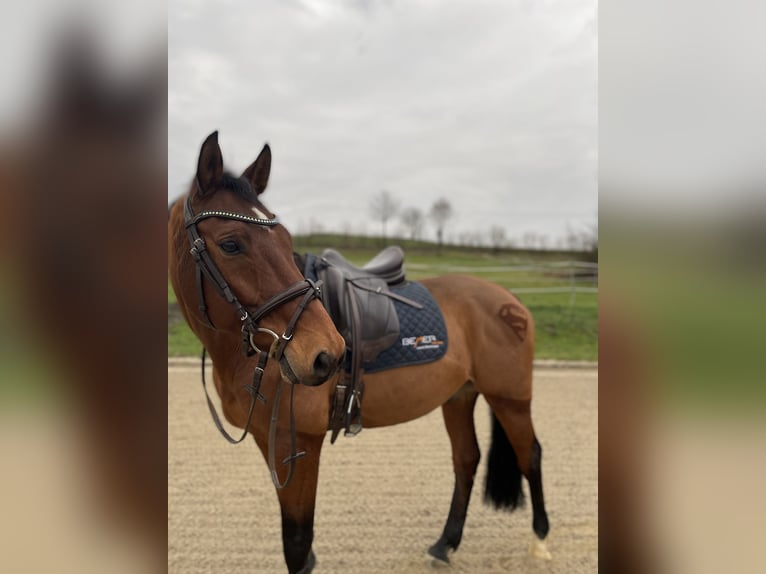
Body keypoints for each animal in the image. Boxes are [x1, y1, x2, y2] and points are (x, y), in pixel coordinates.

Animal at [168, 131, 551, 573]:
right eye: (230, 243)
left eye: (286, 240)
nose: (327, 353)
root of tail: (510, 301)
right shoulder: (269, 440)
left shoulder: (298, 444)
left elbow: (297, 544)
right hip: (459, 396)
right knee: (466, 460)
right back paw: (445, 543)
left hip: (510, 397)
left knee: (530, 455)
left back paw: (540, 541)